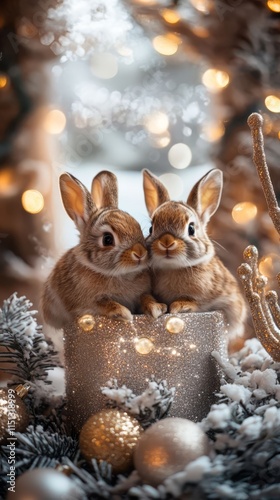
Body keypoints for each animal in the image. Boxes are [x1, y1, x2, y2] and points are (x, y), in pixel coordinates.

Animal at [41, 170, 166, 330]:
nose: (140, 253)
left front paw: (156, 308)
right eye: (107, 239)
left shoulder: (142, 293)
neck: (120, 274)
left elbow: (147, 298)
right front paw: (124, 313)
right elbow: (104, 303)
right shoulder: (88, 301)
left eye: (139, 228)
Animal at [143, 169, 246, 340]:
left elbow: (197, 302)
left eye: (191, 229)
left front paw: (179, 306)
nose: (166, 242)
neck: (172, 268)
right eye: (151, 229)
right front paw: (155, 308)